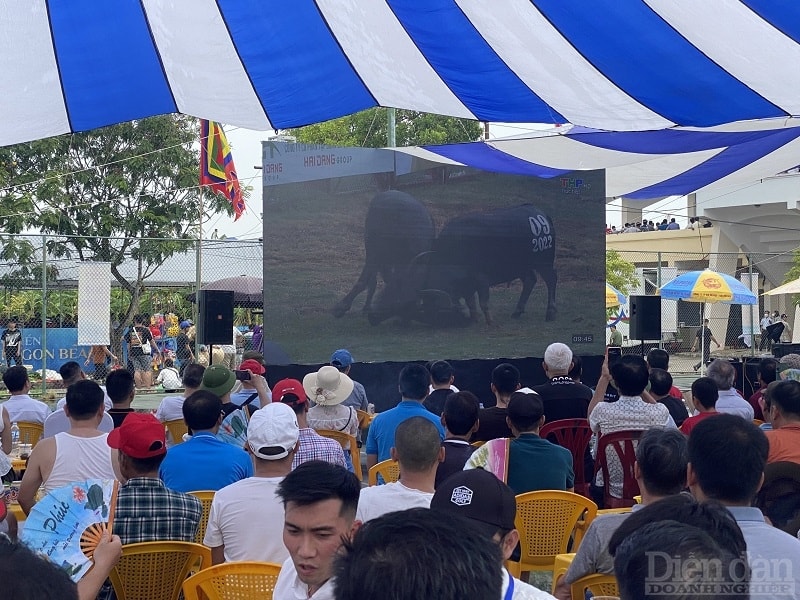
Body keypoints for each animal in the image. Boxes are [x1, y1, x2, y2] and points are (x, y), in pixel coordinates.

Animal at [368, 205, 556, 328]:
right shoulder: (467, 286)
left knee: (551, 280)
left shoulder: (481, 279)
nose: (373, 316)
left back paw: (550, 313)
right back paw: (517, 312)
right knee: (530, 280)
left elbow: (483, 302)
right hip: (522, 267)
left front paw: (489, 321)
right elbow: (471, 302)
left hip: (544, 262)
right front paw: (473, 318)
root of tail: (542, 214)